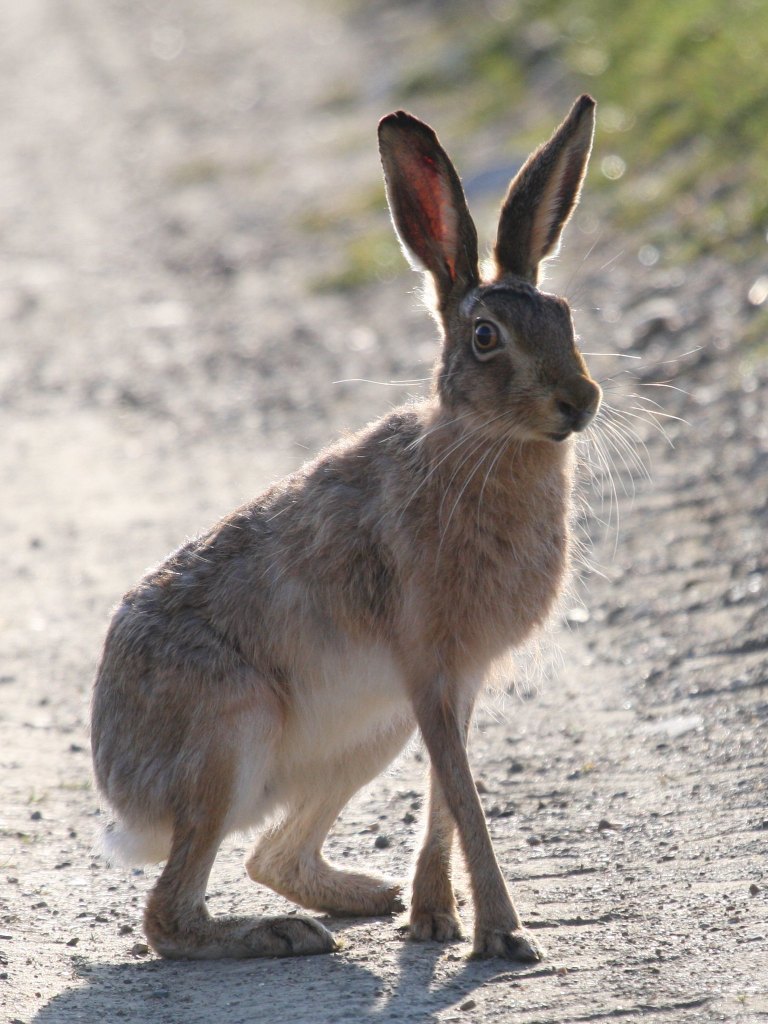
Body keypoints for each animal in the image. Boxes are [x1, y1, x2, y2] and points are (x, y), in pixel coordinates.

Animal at [91, 94, 601, 963]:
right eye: (486, 339)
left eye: (565, 315)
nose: (581, 401)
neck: (480, 444)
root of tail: (123, 790)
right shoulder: (429, 665)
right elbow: (465, 798)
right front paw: (504, 934)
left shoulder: (451, 684)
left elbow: (446, 796)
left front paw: (434, 919)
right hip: (231, 736)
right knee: (169, 915)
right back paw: (279, 934)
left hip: (366, 732)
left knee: (270, 856)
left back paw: (367, 896)